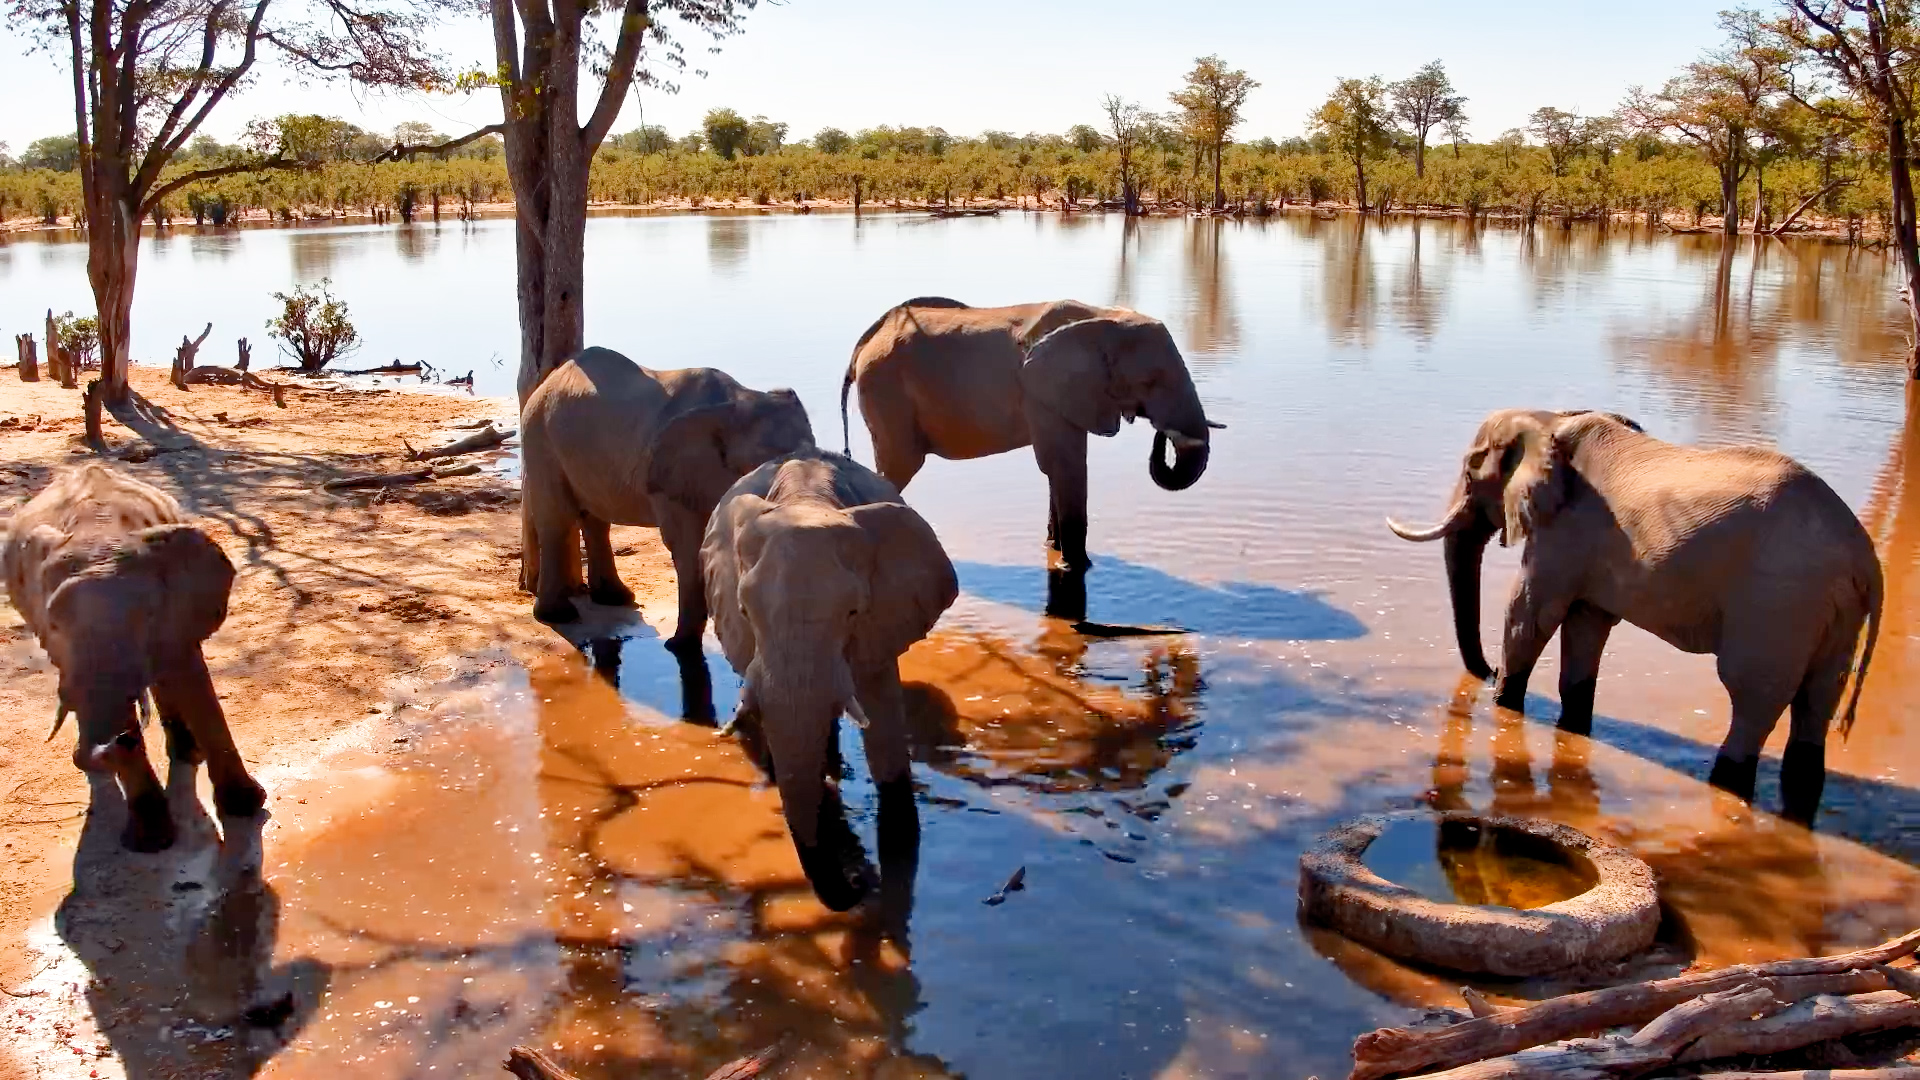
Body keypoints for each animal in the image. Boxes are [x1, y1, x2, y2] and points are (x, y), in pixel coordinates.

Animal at [1, 463, 265, 852]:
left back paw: (187, 753)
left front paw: (246, 808)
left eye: (147, 616)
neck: (99, 530)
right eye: (54, 623)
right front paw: (151, 843)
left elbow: (189, 676)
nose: (120, 739)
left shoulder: (177, 610)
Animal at [519, 346, 815, 645]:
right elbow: (687, 544)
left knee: (595, 519)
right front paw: (679, 647)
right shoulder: (669, 478)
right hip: (540, 437)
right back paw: (559, 615)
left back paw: (616, 598)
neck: (737, 402)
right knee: (557, 520)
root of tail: (550, 379)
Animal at [702, 447, 958, 912]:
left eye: (853, 612)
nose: (858, 883)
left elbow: (883, 728)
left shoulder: (885, 615)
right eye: (746, 612)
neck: (807, 499)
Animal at [839, 298, 1222, 570]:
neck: (1102, 317)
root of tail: (863, 345)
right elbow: (1065, 466)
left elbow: (1058, 469)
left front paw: (1054, 549)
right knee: (899, 466)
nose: (1161, 432)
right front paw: (1078, 566)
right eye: (1151, 380)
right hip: (886, 391)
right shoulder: (1042, 393)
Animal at [1388, 409, 1884, 824]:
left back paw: (1726, 783)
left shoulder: (1565, 531)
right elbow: (1587, 625)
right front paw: (1570, 726)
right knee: (1817, 701)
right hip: (1833, 615)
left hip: (1780, 602)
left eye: (1471, 470)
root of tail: (1864, 558)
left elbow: (1530, 614)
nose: (1486, 672)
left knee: (1752, 695)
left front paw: (1504, 702)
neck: (1548, 419)